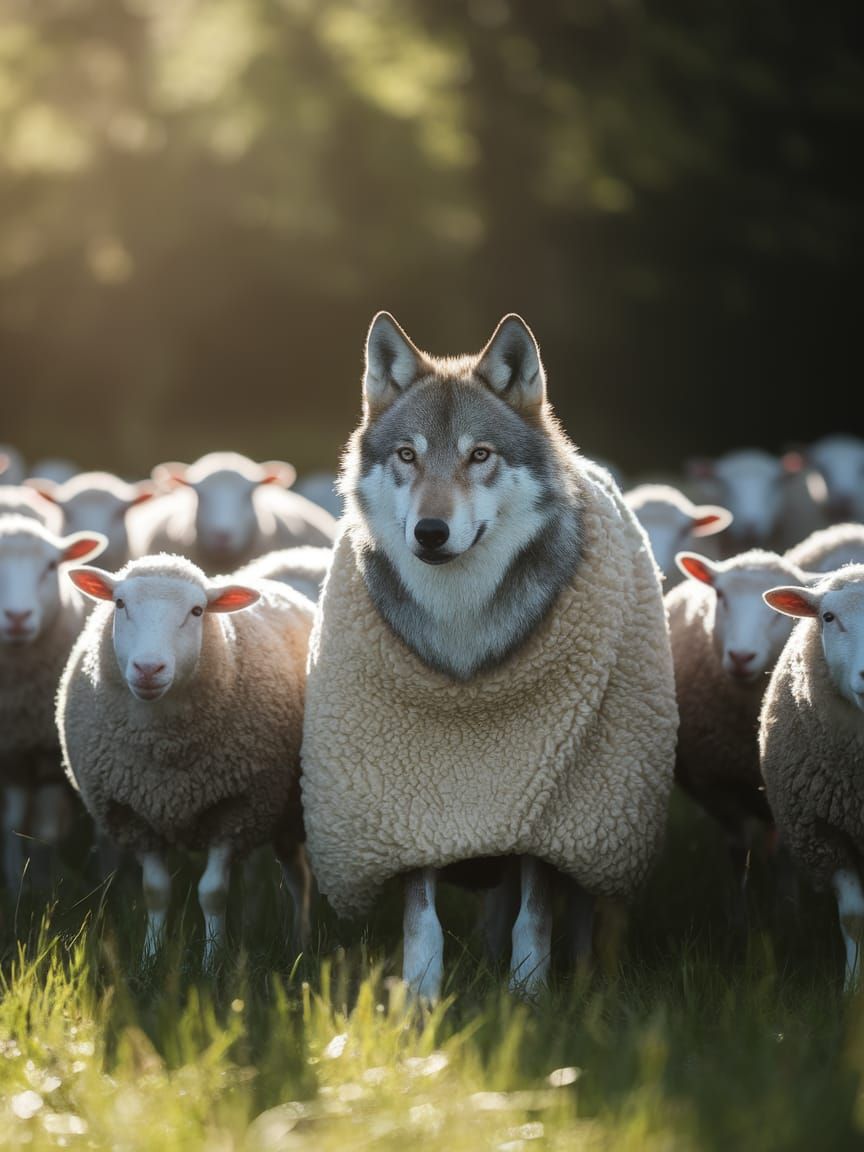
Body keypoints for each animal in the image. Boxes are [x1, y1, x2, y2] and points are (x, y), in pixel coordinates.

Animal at [0, 516, 107, 890]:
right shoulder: (12, 758)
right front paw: (15, 885)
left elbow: (45, 830)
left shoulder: (49, 757)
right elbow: (13, 824)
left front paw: (44, 887)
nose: (17, 617)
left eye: (50, 566)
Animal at [56, 553, 316, 970]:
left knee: (298, 879)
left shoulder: (235, 810)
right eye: (120, 604)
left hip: (287, 811)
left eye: (197, 611)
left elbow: (213, 892)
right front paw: (149, 959)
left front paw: (213, 961)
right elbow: (155, 892)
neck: (166, 753)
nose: (148, 669)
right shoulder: (133, 815)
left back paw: (299, 944)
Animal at [300, 310, 679, 1003]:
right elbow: (422, 925)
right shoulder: (412, 811)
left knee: (571, 912)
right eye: (407, 455)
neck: (462, 643)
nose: (430, 533)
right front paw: (421, 1002)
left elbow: (536, 917)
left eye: (479, 455)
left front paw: (529, 999)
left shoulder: (546, 813)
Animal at [665, 548, 811, 932]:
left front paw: (789, 913)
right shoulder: (716, 784)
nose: (741, 657)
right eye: (720, 595)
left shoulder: (787, 787)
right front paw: (738, 921)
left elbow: (784, 853)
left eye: (776, 611)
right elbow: (737, 852)